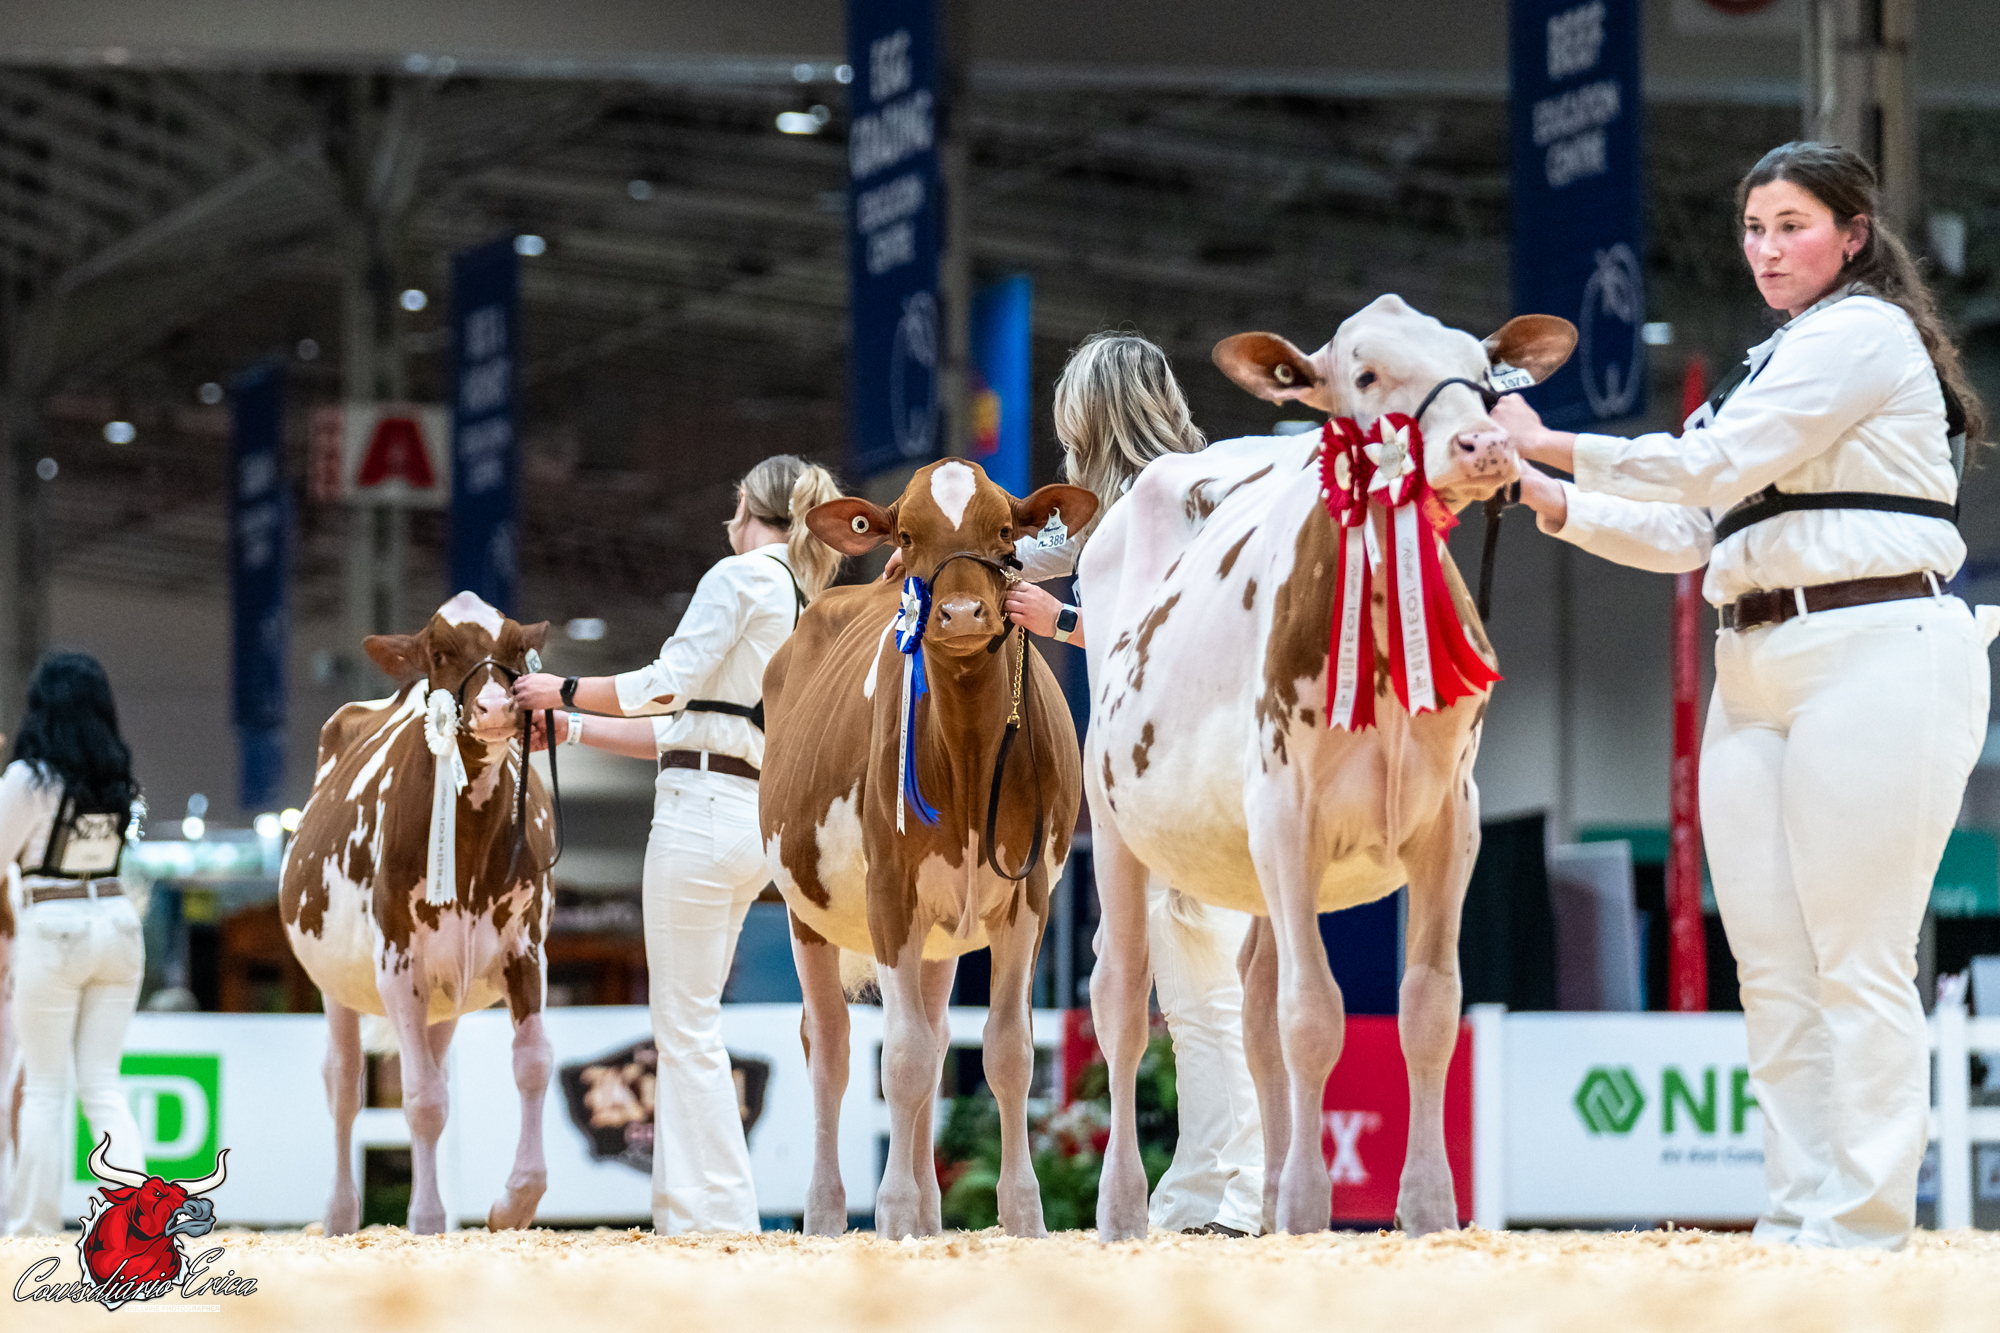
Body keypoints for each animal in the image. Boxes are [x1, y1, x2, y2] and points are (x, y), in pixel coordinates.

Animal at [280, 591, 556, 1235]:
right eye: (439, 652)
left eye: (513, 647)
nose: (496, 706)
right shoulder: (397, 963)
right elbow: (421, 1101)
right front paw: (426, 1220)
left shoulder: (525, 950)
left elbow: (532, 1063)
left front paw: (515, 1201)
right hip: (338, 983)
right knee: (344, 1085)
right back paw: (340, 1214)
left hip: (446, 993)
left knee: (430, 1064)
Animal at [760, 459, 1099, 1239]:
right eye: (907, 536)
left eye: (1004, 530)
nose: (964, 614)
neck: (969, 752)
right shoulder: (889, 891)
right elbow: (903, 1060)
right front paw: (889, 1212)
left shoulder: (1031, 897)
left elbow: (1006, 1052)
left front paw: (1023, 1212)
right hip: (806, 911)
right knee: (832, 1048)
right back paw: (828, 1211)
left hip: (943, 932)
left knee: (942, 1038)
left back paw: (930, 1211)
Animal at [1081, 295, 1575, 1239]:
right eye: (1368, 374)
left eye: (1485, 375)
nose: (1485, 445)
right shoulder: (1286, 811)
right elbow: (1314, 1015)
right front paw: (1312, 1207)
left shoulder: (1453, 820)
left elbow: (1428, 1008)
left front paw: (1425, 1208)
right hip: (1117, 822)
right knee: (1123, 1000)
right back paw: (1123, 1208)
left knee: (1253, 999)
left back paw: (1268, 1195)